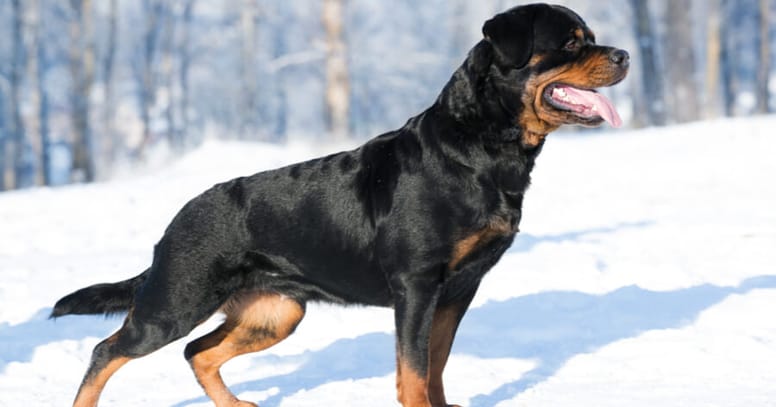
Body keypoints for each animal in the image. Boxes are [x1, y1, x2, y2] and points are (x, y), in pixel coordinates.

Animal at [51, 3, 628, 407]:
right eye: (570, 43)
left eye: (591, 39)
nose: (623, 56)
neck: (480, 146)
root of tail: (172, 225)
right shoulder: (417, 286)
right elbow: (414, 371)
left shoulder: (460, 288)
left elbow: (436, 365)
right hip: (176, 301)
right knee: (108, 351)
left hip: (277, 312)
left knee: (198, 352)